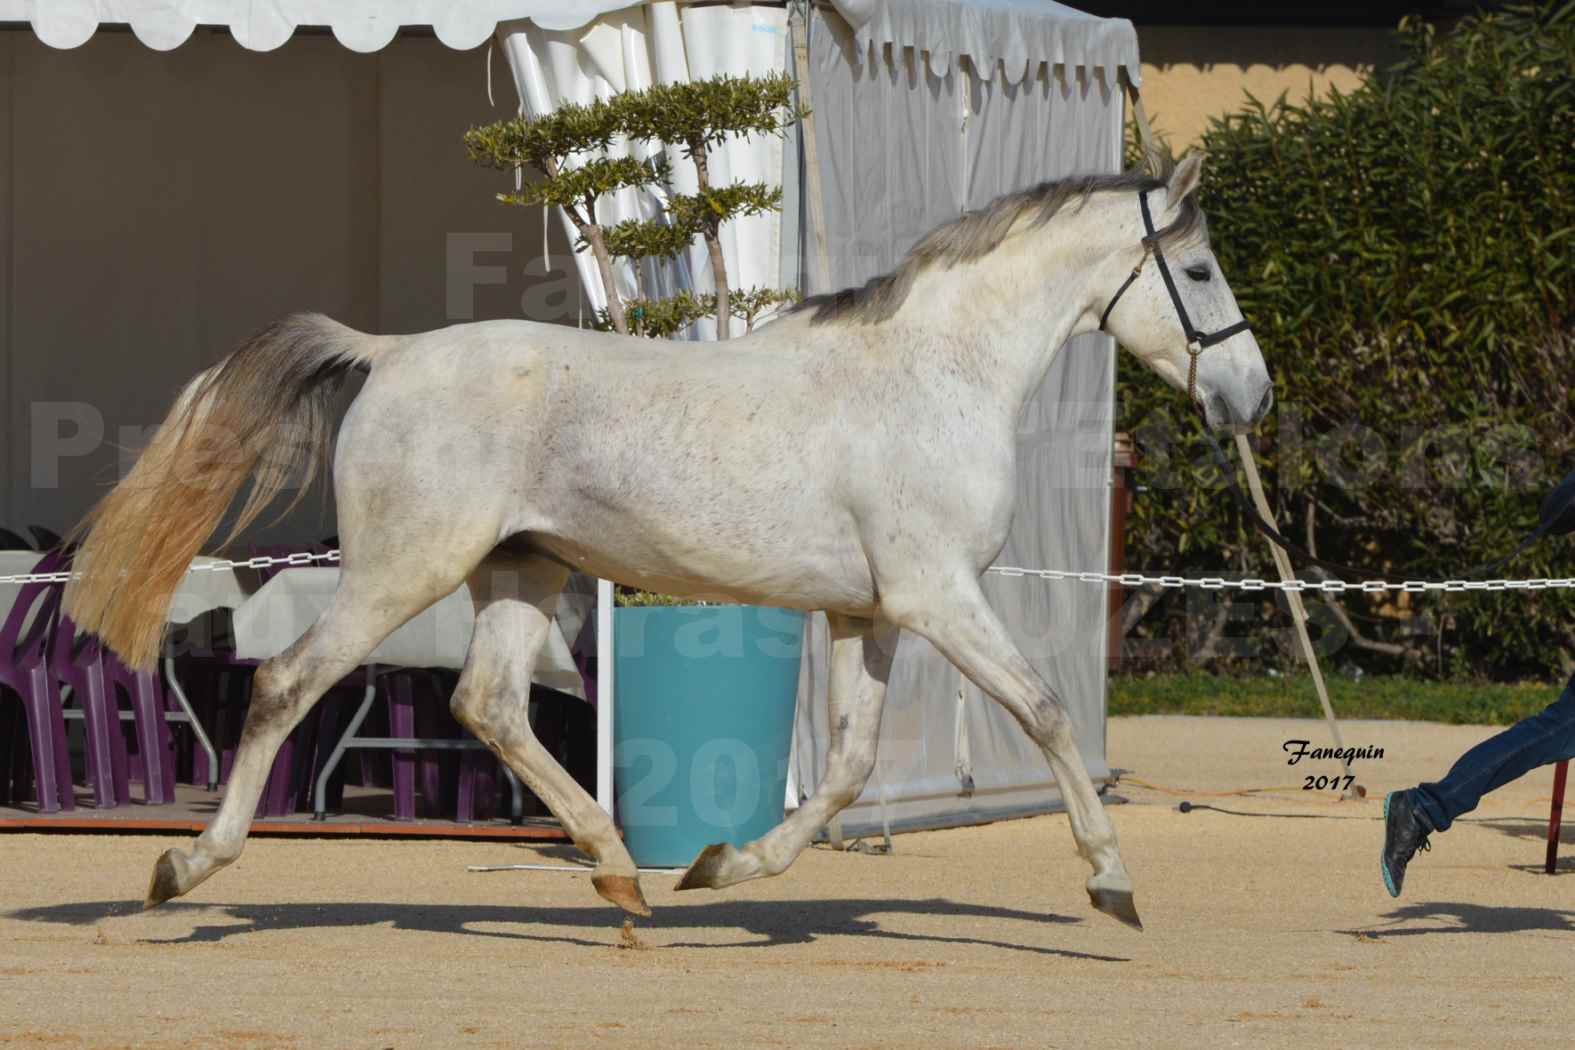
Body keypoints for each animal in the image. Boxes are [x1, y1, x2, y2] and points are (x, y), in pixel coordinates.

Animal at [67, 154, 1266, 925]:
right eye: (1202, 271)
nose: (1248, 397)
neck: (938, 373)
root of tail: (392, 351)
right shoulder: (938, 598)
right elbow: (1046, 712)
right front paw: (1110, 883)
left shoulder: (869, 612)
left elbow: (848, 767)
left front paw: (722, 868)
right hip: (405, 571)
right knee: (286, 684)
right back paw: (186, 867)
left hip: (519, 572)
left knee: (488, 705)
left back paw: (619, 872)